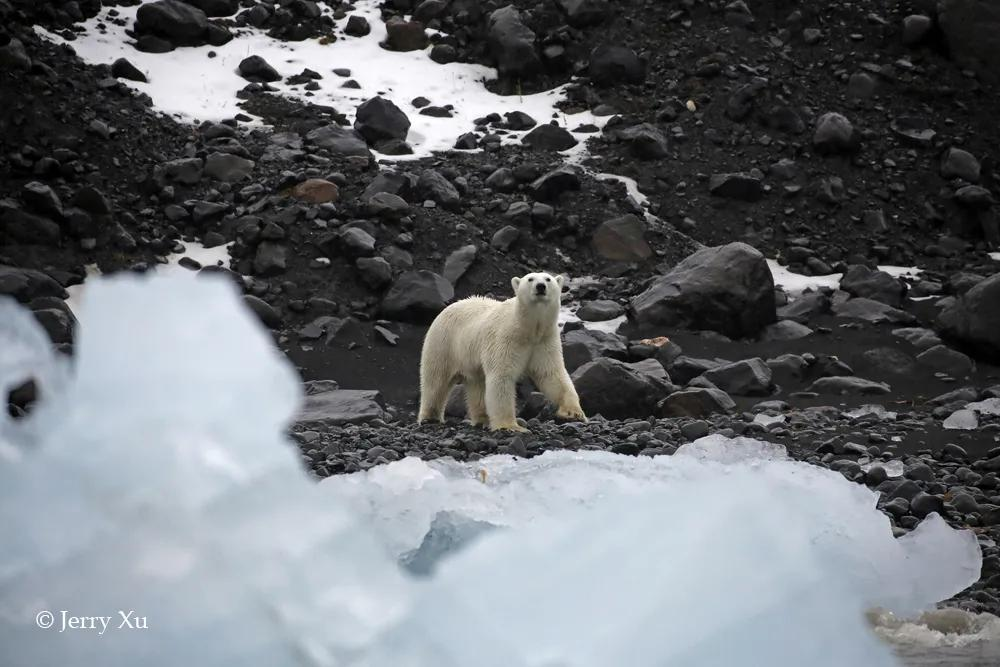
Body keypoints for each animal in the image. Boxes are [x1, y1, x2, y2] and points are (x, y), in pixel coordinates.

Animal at [418, 272, 588, 434]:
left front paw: (574, 413)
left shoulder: (543, 341)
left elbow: (551, 373)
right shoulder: (506, 339)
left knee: (477, 384)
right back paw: (430, 417)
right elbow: (502, 376)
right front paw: (510, 426)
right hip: (443, 343)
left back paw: (482, 419)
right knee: (436, 380)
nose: (540, 286)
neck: (528, 329)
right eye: (530, 279)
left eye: (548, 279)